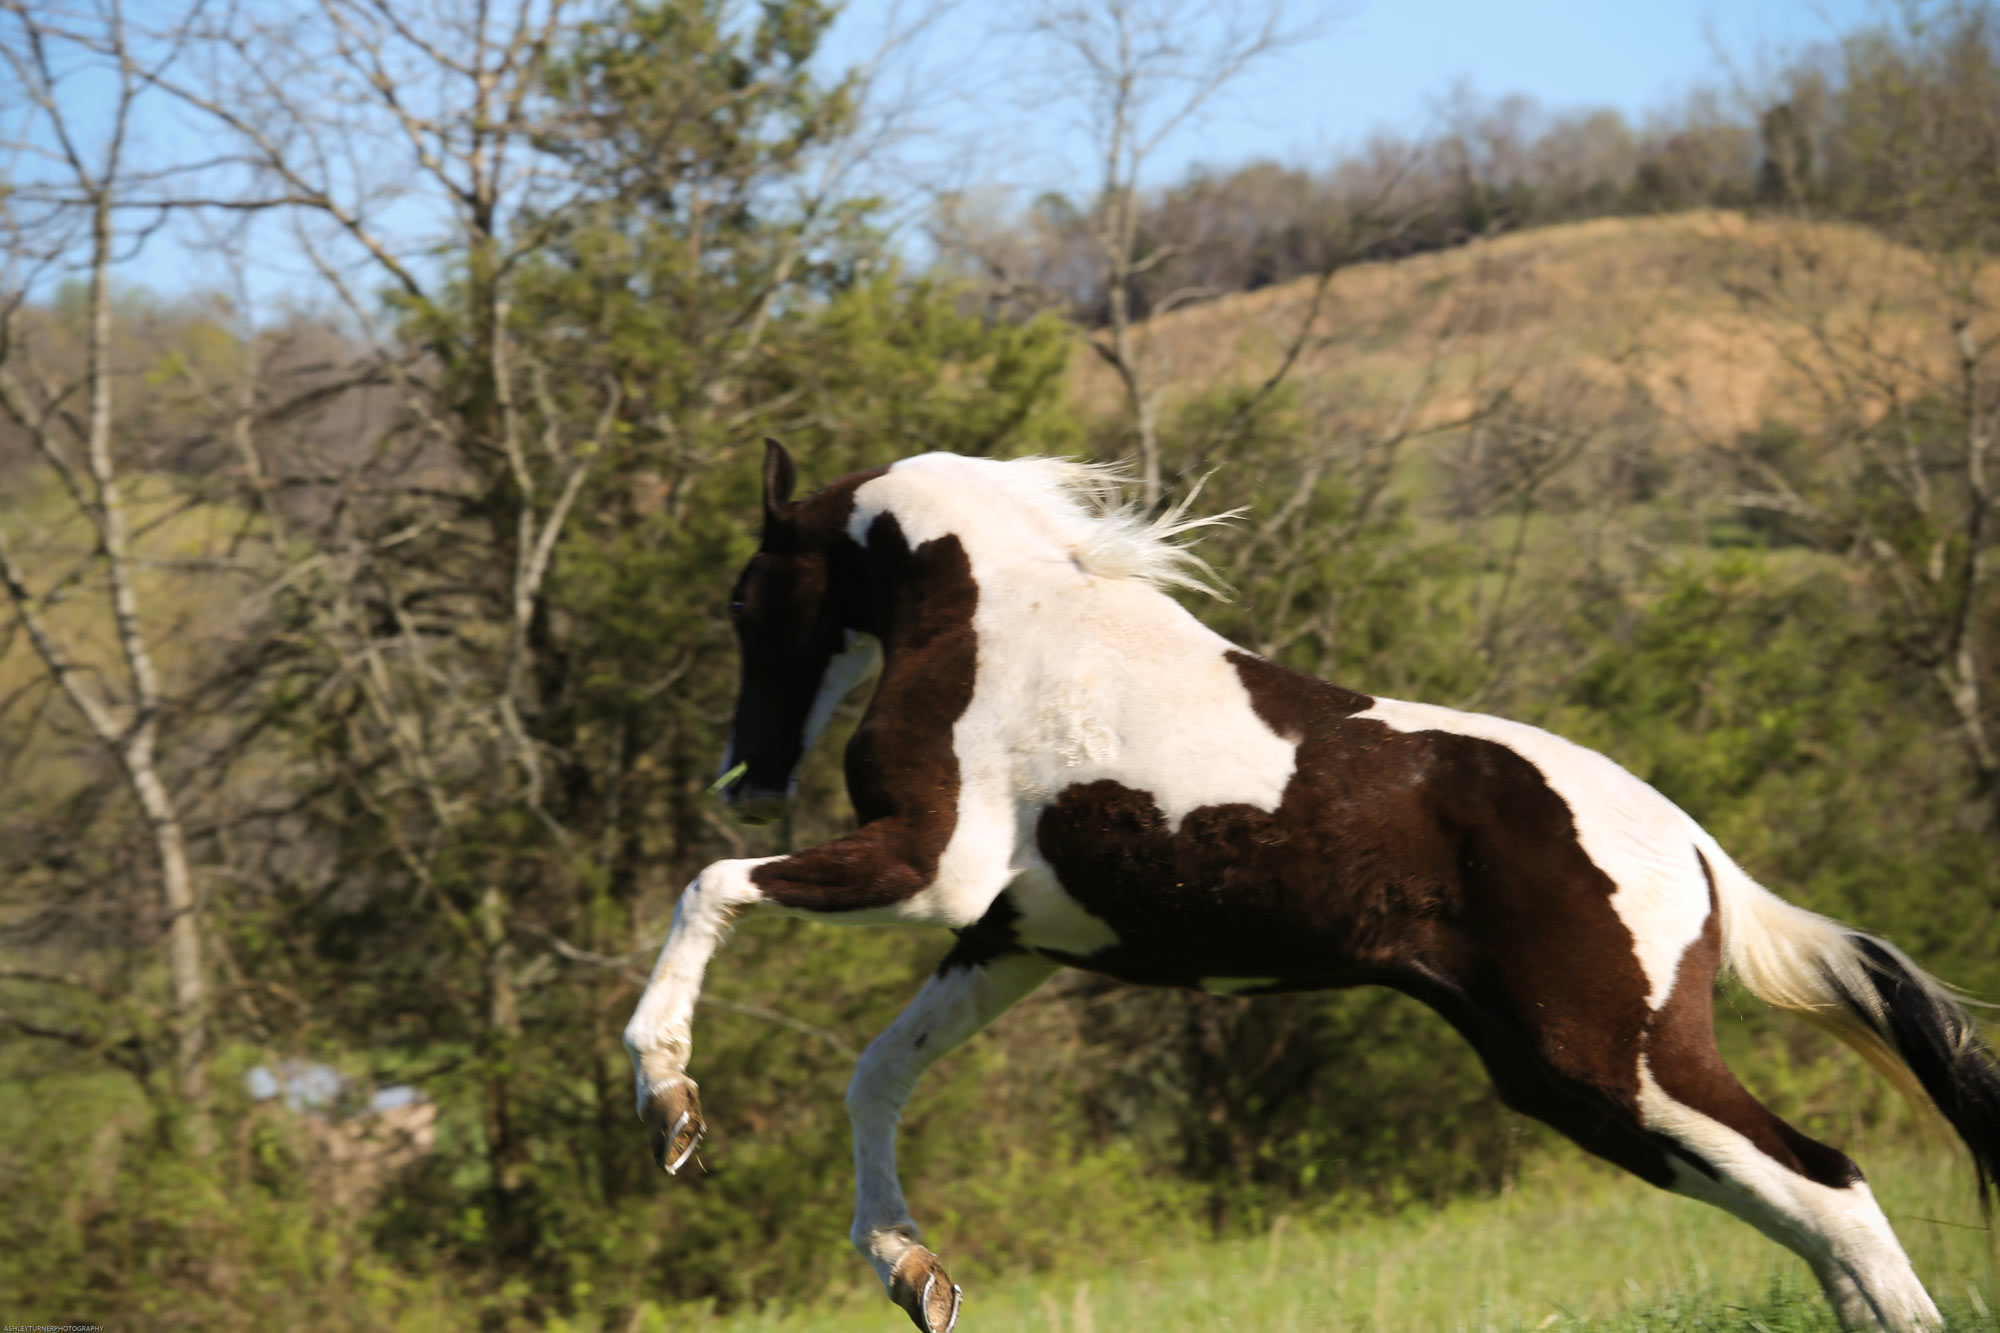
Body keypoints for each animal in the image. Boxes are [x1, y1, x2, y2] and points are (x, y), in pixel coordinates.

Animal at [624, 440, 2000, 1320]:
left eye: (744, 596)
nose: (745, 775)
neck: (995, 619)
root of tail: (1700, 853)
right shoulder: (1011, 941)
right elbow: (876, 1074)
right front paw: (912, 1272)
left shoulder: (930, 872)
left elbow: (710, 887)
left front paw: (666, 1102)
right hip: (1577, 1084)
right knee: (1803, 1212)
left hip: (1622, 1061)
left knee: (1828, 1189)